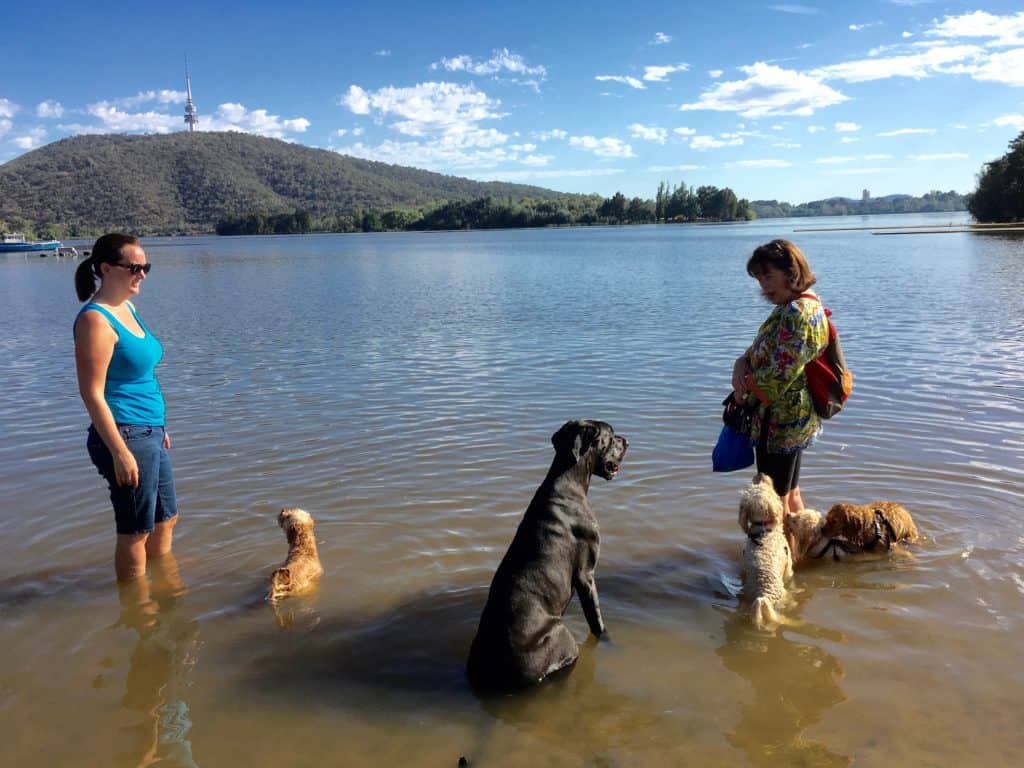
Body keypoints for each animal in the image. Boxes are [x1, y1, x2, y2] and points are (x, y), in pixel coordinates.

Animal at [468, 421, 626, 692]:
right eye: (611, 435)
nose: (627, 440)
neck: (568, 483)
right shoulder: (586, 575)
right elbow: (596, 619)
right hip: (562, 635)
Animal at [741, 475, 794, 630]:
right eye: (768, 488)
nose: (761, 474)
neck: (763, 529)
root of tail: (763, 595)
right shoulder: (789, 569)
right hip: (787, 597)